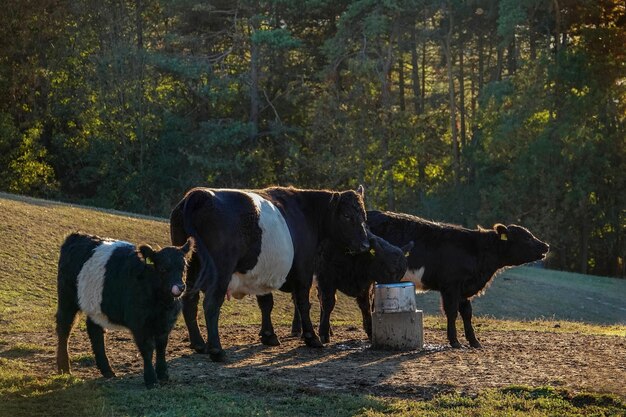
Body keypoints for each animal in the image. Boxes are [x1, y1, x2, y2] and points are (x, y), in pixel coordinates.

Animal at [55, 231, 193, 386]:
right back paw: (64, 368)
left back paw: (107, 370)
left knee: (94, 330)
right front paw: (151, 379)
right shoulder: (139, 322)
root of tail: (76, 235)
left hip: (96, 306)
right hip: (67, 298)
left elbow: (162, 346)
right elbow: (147, 348)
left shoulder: (165, 322)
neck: (161, 302)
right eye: (163, 268)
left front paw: (163, 374)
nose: (180, 287)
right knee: (64, 327)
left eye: (184, 267)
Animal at [168, 185, 368, 360]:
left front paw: (268, 335)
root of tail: (199, 194)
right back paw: (217, 351)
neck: (306, 213)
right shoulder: (304, 269)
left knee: (190, 301)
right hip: (221, 270)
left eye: (364, 216)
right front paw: (312, 337)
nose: (365, 245)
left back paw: (199, 344)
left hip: (192, 268)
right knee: (211, 304)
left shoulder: (263, 272)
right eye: (347, 216)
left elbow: (266, 303)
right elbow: (303, 303)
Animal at [366, 211, 544, 348]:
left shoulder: (464, 289)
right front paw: (455, 342)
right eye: (527, 238)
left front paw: (474, 342)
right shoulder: (451, 286)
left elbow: (467, 313)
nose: (546, 246)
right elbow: (452, 312)